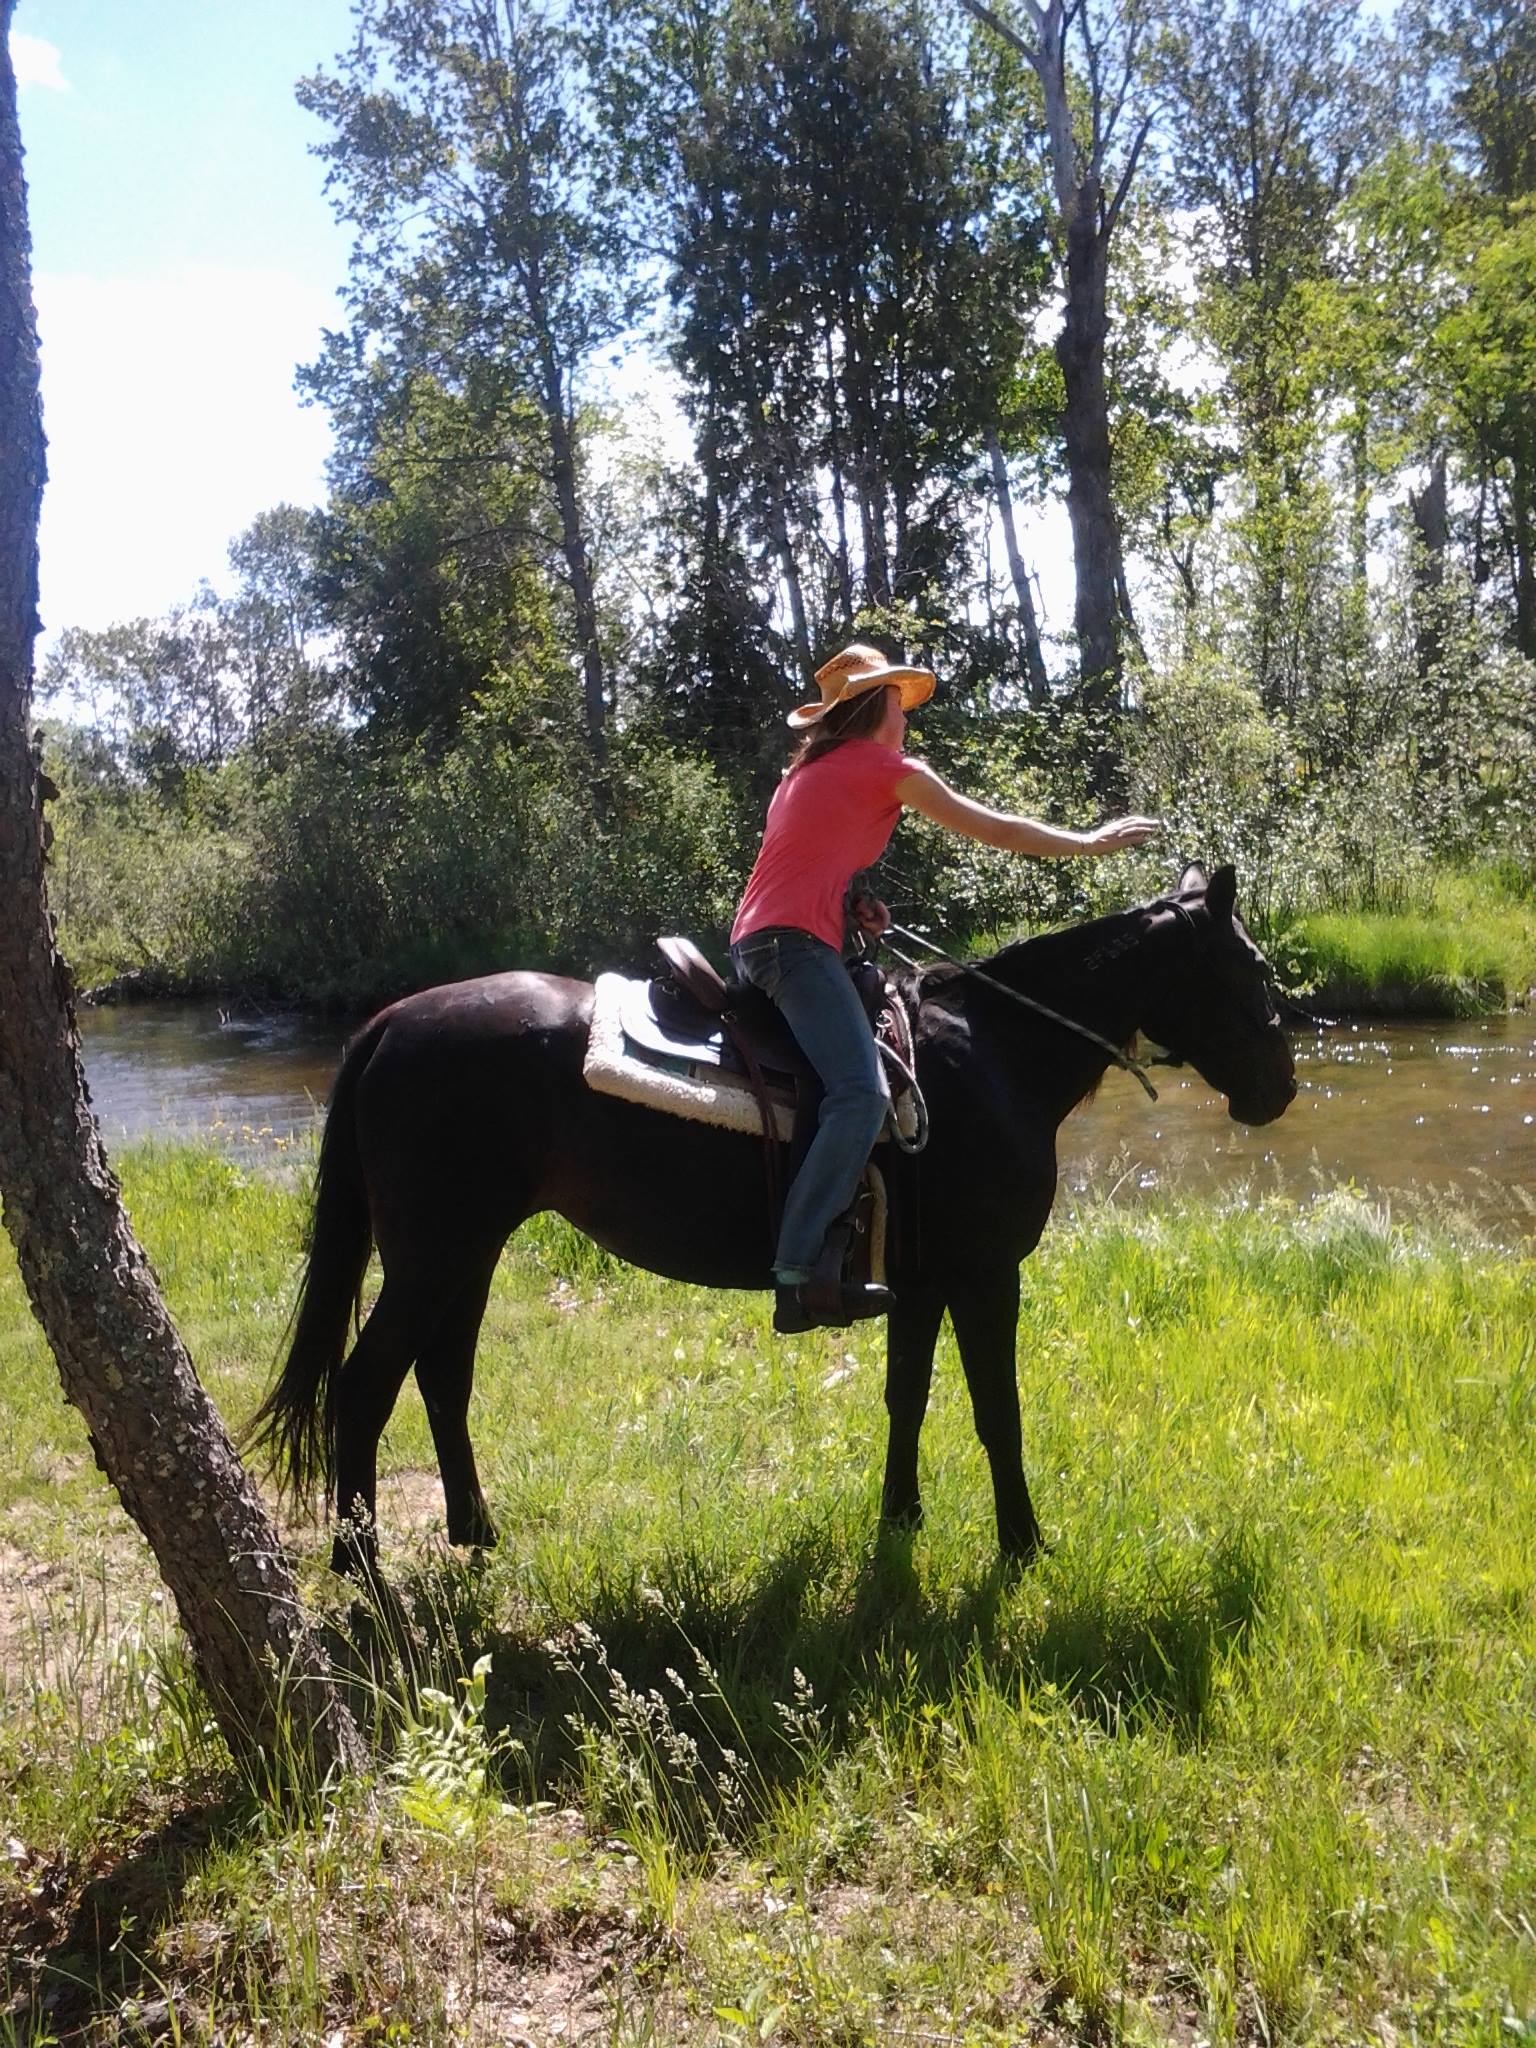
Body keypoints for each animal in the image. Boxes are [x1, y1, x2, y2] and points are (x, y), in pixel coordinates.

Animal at [252, 864, 1302, 1564]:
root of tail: (388, 1022)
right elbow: (996, 1411)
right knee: (364, 1387)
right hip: (435, 1253)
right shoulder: (984, 1276)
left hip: (465, 1253)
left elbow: (910, 1397)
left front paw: (900, 1519)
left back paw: (477, 1532)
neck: (997, 1053)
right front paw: (1023, 1545)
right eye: (1249, 969)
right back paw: (362, 1570)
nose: (1281, 1091)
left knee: (443, 1378)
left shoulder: (918, 1280)